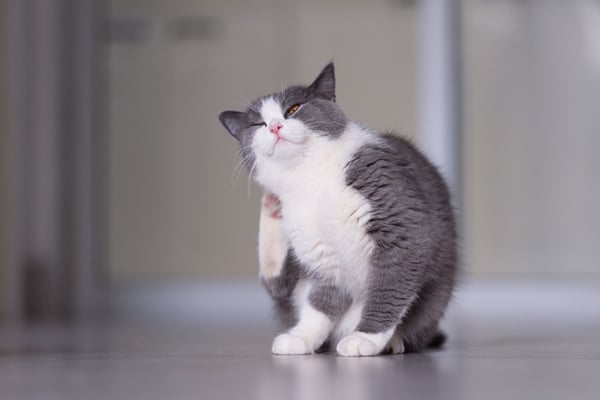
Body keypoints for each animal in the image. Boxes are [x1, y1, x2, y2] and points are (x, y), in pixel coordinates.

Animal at [218, 62, 458, 356]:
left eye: (294, 108)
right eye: (258, 124)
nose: (274, 126)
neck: (309, 177)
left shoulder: (399, 221)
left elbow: (389, 289)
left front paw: (366, 337)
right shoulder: (319, 253)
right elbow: (320, 303)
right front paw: (302, 336)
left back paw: (393, 342)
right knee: (278, 284)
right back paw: (272, 208)